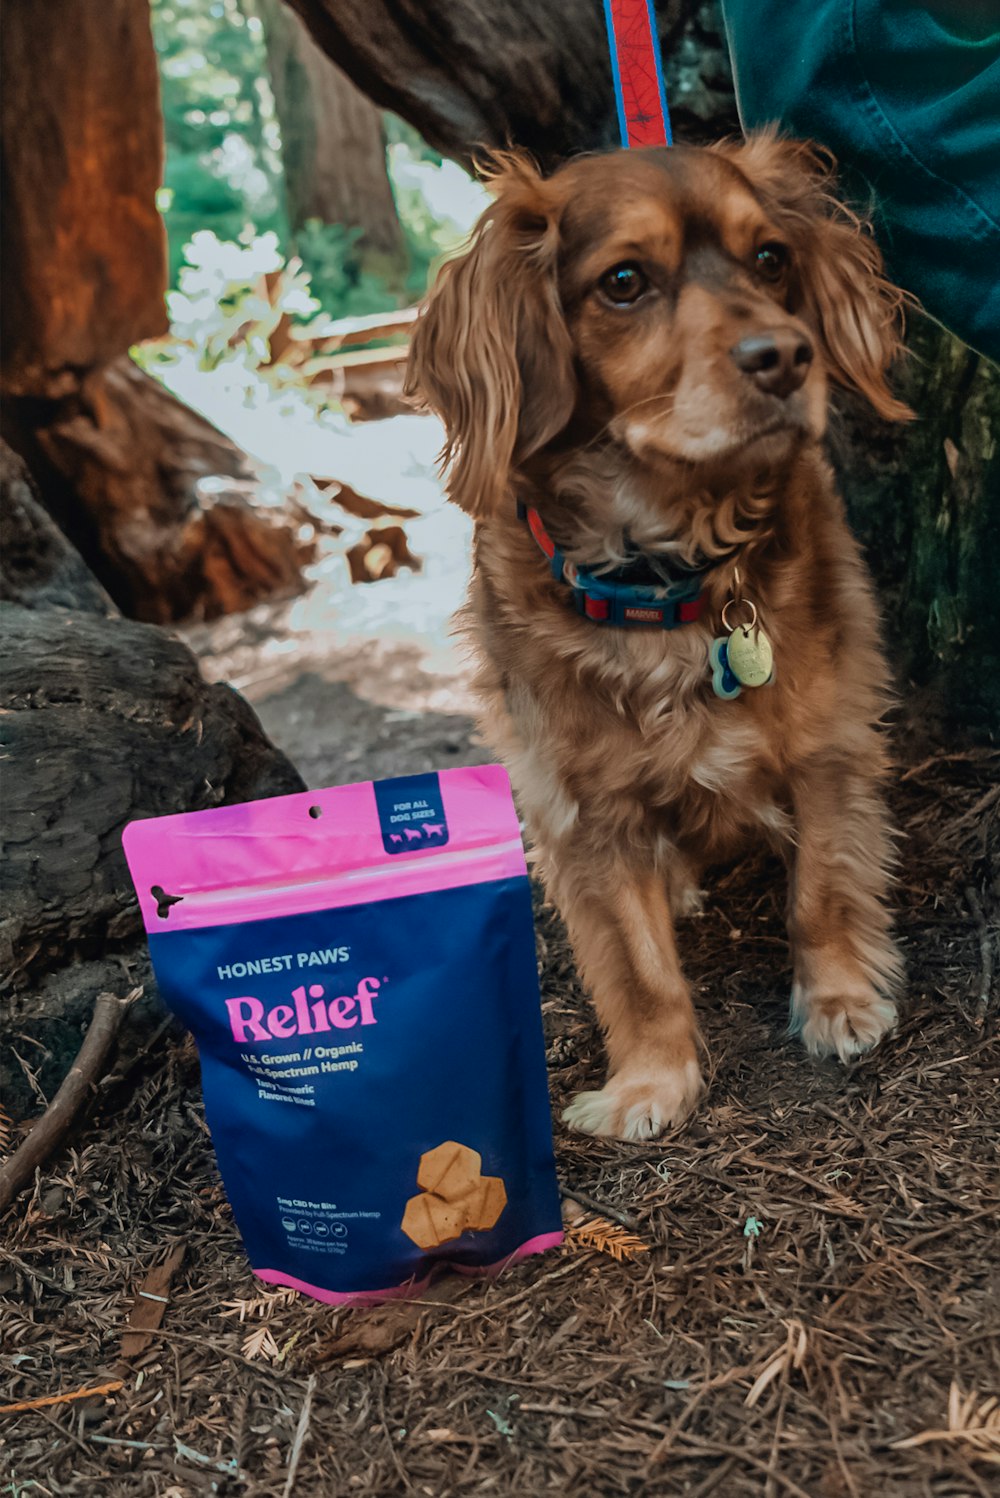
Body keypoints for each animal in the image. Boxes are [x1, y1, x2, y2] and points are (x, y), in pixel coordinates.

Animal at [404, 134, 904, 1138]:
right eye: (625, 281)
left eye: (771, 259)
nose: (786, 356)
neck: (669, 580)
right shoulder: (581, 813)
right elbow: (636, 971)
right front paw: (650, 1083)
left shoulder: (827, 748)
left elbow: (824, 890)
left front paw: (838, 1002)